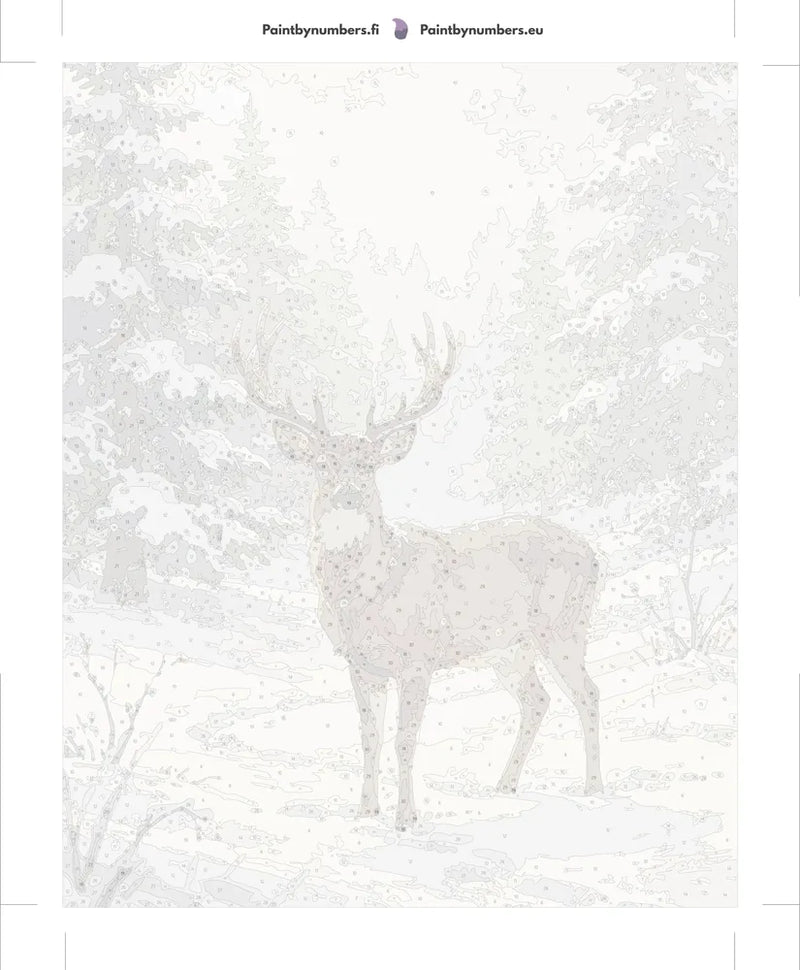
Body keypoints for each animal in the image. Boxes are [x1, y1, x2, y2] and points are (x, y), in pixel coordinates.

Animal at [233, 314, 602, 830]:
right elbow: (368, 736)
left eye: (368, 465)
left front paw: (406, 817)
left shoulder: (419, 658)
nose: (349, 494)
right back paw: (504, 784)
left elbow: (404, 739)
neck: (364, 597)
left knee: (588, 694)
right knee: (538, 699)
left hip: (564, 625)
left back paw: (594, 788)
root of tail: (594, 553)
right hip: (508, 648)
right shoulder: (360, 663)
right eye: (324, 463)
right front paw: (365, 810)